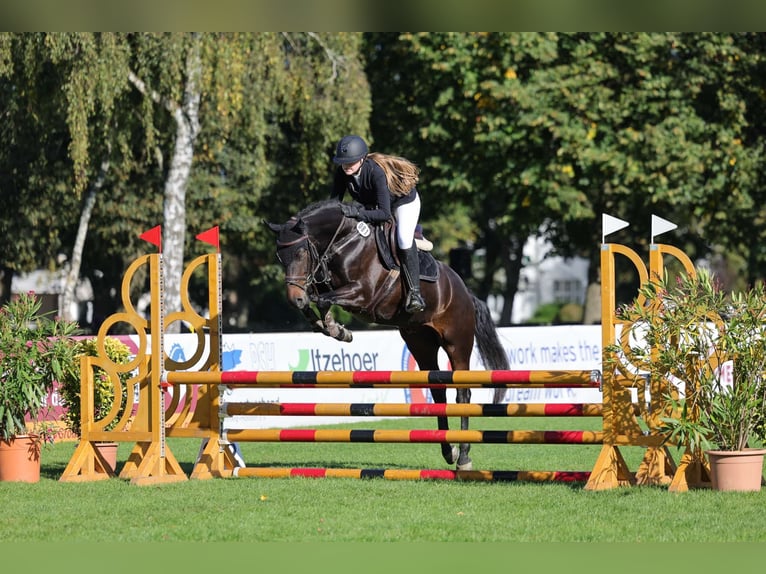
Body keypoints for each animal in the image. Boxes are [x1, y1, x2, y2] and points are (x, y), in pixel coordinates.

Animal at [268, 200, 512, 470]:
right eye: (280, 257)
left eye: (300, 253)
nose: (294, 298)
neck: (343, 241)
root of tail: (465, 292)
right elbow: (316, 299)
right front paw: (333, 327)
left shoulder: (362, 294)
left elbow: (321, 298)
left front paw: (333, 326)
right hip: (420, 343)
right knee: (438, 390)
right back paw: (449, 451)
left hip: (457, 343)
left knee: (463, 393)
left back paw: (464, 458)